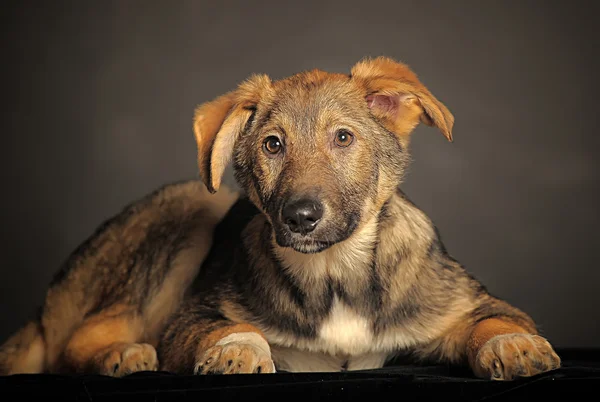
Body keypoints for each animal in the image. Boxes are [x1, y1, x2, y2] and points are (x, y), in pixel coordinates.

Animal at [1, 56, 564, 380]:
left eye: (344, 137)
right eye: (273, 145)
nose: (300, 217)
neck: (336, 274)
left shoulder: (468, 302)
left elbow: (494, 319)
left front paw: (516, 345)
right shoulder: (191, 317)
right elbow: (231, 328)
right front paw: (237, 352)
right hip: (192, 206)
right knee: (75, 341)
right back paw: (123, 355)